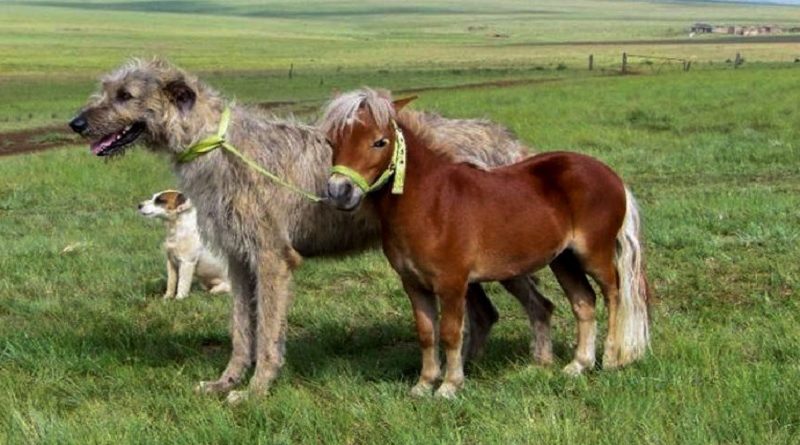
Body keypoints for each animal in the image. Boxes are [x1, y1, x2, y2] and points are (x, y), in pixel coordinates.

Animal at [70, 57, 552, 400]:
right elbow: (241, 330)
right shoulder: (239, 260)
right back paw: (463, 370)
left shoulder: (272, 258)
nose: (75, 123)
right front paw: (227, 381)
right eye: (106, 89)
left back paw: (537, 364)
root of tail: (509, 141)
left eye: (126, 94)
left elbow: (267, 332)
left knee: (538, 304)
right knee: (486, 314)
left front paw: (257, 389)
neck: (218, 143)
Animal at [322, 92, 648, 398]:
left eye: (380, 142)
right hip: (563, 260)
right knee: (584, 301)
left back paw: (611, 358)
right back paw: (578, 365)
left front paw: (449, 386)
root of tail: (612, 176)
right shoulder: (414, 284)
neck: (431, 202)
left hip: (593, 255)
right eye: (331, 141)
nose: (340, 192)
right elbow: (426, 333)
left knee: (613, 294)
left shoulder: (452, 284)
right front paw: (423, 385)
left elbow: (451, 333)